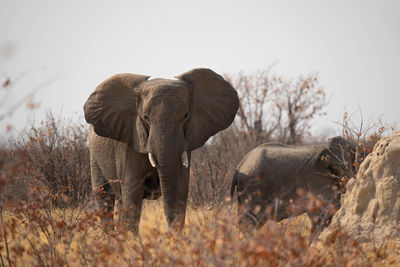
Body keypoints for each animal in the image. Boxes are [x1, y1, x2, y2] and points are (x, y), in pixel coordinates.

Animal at [83, 69, 238, 234]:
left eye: (185, 115)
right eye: (145, 117)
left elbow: (180, 190)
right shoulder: (130, 142)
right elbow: (132, 197)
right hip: (94, 157)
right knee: (103, 198)